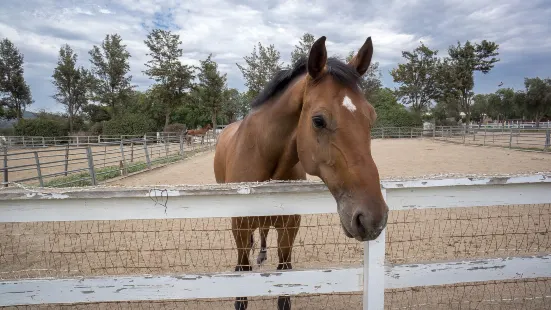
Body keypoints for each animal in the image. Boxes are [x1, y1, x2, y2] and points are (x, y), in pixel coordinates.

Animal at [213, 36, 390, 310]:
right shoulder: (239, 227)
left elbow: (284, 281)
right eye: (318, 120)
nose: (373, 218)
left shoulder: (289, 230)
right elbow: (242, 271)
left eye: (371, 117)